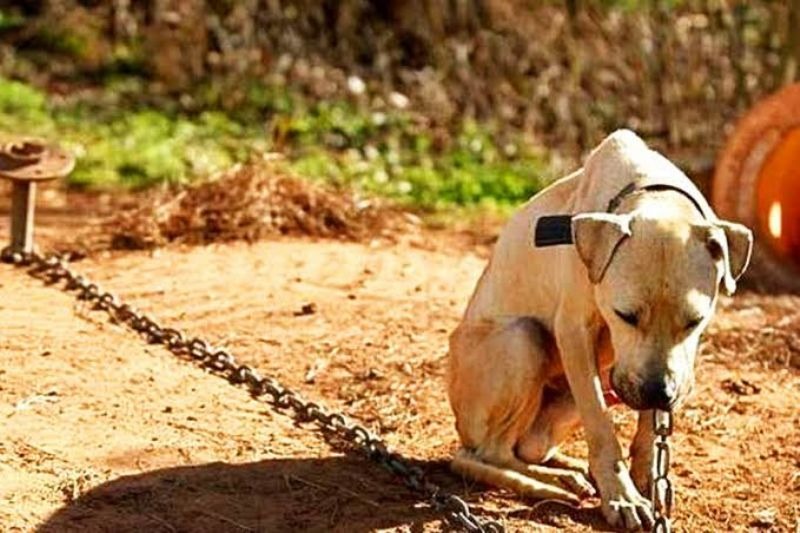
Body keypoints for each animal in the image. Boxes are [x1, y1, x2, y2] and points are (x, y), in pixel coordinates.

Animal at [446, 129, 752, 528]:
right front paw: (623, 497)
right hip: (522, 339)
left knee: (524, 448)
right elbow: (602, 428)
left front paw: (646, 480)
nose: (659, 393)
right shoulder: (575, 332)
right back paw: (552, 484)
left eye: (695, 321)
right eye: (625, 315)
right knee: (486, 453)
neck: (651, 191)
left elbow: (649, 431)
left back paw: (567, 470)